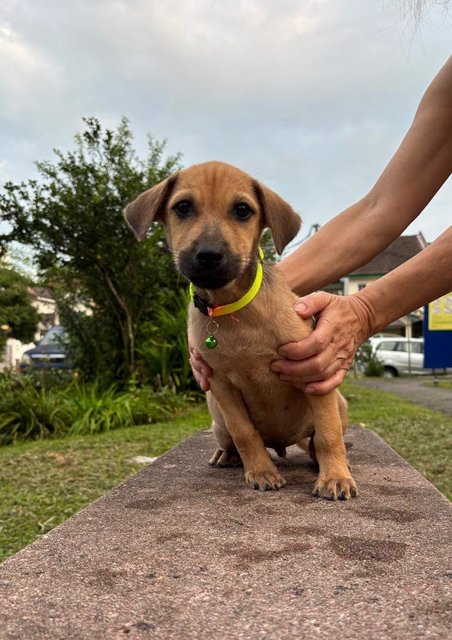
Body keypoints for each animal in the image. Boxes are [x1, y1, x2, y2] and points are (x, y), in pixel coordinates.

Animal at [123, 160, 356, 500]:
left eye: (243, 210)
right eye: (182, 207)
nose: (208, 255)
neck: (233, 307)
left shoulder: (316, 374)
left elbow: (328, 434)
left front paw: (335, 477)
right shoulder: (220, 383)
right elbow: (245, 432)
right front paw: (261, 471)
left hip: (338, 402)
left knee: (319, 439)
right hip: (216, 416)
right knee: (232, 438)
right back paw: (228, 455)